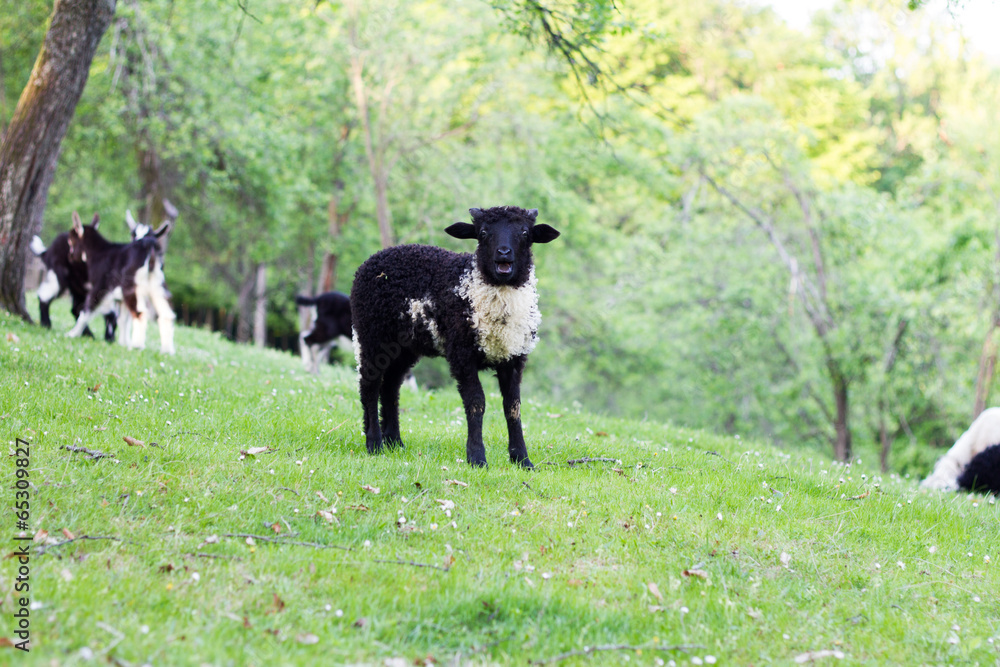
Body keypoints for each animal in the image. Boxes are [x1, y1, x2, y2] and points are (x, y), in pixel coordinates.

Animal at [65, 211, 176, 354]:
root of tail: (150, 247)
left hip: (132, 286)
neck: (99, 252)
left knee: (140, 312)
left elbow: (87, 309)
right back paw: (167, 350)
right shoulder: (121, 299)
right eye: (132, 234)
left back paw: (137, 346)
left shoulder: (100, 286)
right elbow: (123, 319)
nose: (70, 257)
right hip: (158, 285)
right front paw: (123, 343)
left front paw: (72, 334)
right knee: (166, 314)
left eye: (70, 240)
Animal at [350, 205, 560, 468]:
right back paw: (375, 444)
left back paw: (394, 442)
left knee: (390, 387)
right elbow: (476, 402)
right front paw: (477, 458)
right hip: (372, 334)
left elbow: (513, 406)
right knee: (369, 385)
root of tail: (373, 259)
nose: (503, 253)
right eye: (483, 233)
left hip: (403, 347)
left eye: (524, 232)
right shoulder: (462, 353)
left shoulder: (513, 356)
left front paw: (522, 459)